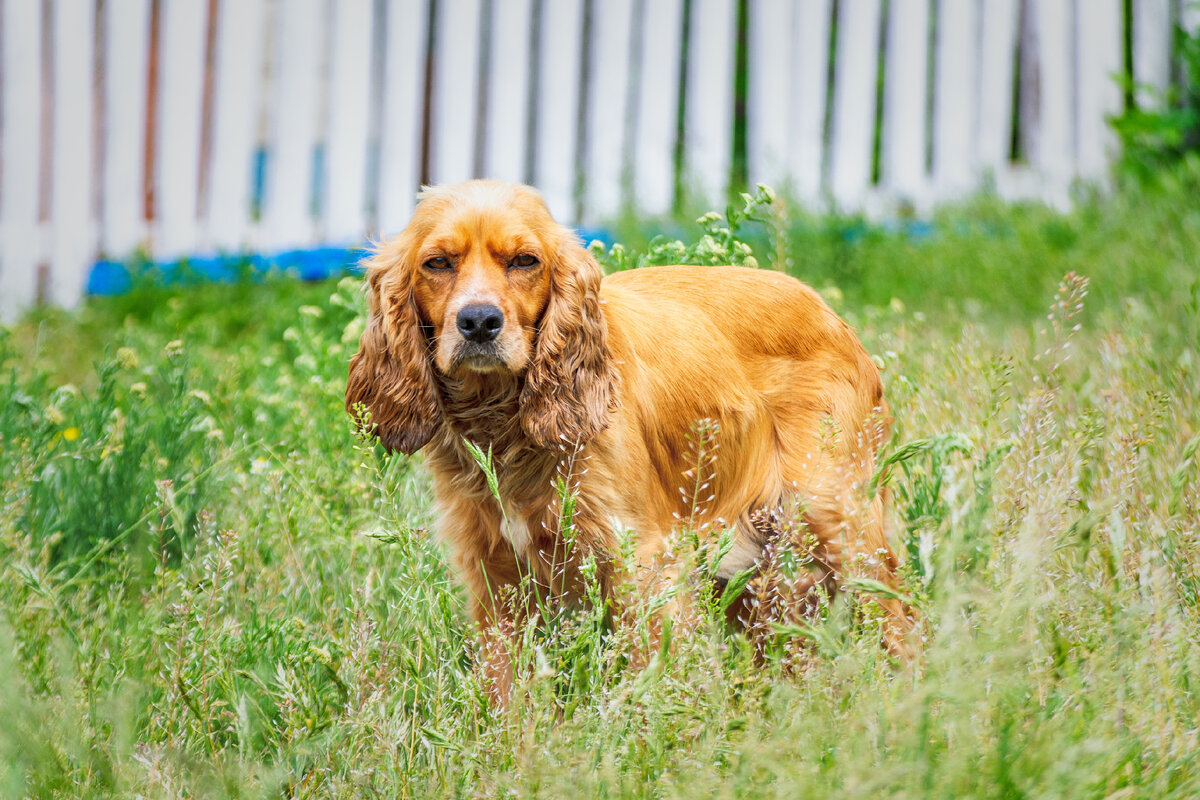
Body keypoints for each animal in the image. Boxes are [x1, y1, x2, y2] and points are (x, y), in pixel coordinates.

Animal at [350, 178, 912, 695]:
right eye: (437, 263)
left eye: (526, 261)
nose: (479, 321)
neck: (505, 424)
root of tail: (832, 315)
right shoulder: (494, 574)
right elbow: (507, 694)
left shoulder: (639, 561)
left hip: (838, 523)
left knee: (905, 623)